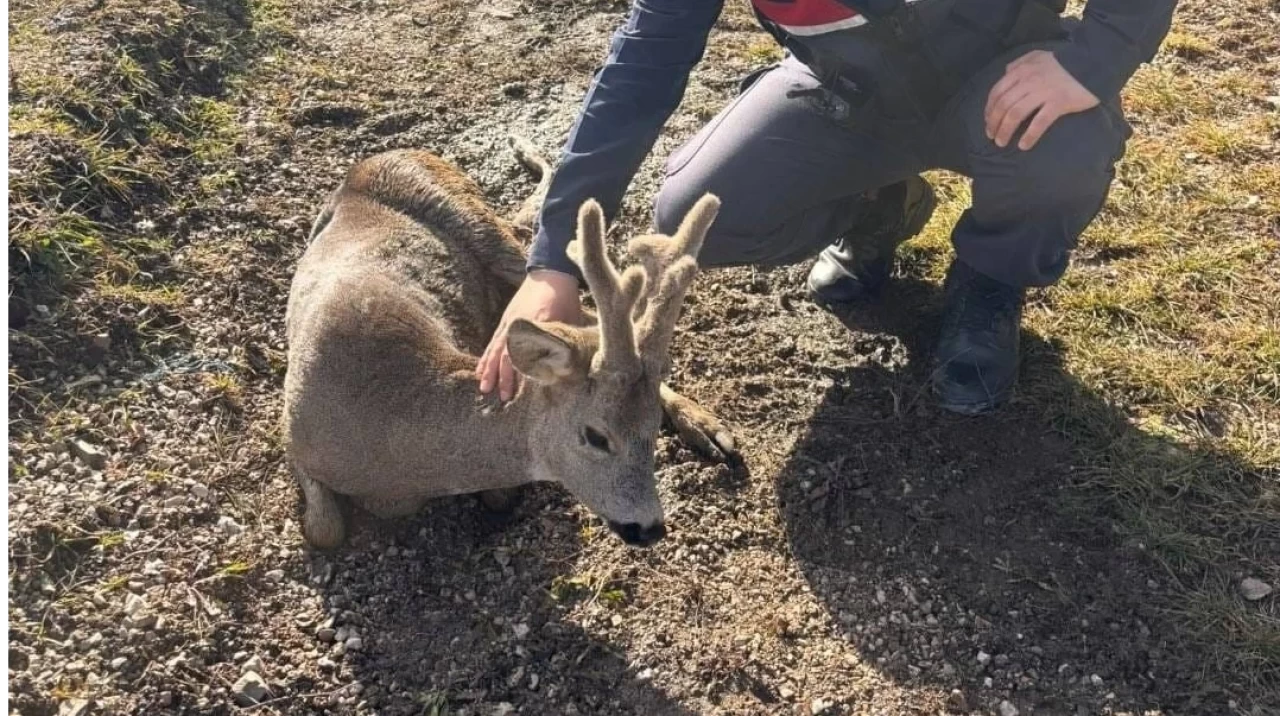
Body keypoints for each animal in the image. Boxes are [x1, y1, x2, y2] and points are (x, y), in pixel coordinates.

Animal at [284, 138, 737, 548]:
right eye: (595, 436)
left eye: (651, 431)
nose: (650, 527)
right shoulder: (291, 428)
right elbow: (324, 530)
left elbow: (498, 496)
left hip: (491, 234)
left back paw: (708, 428)